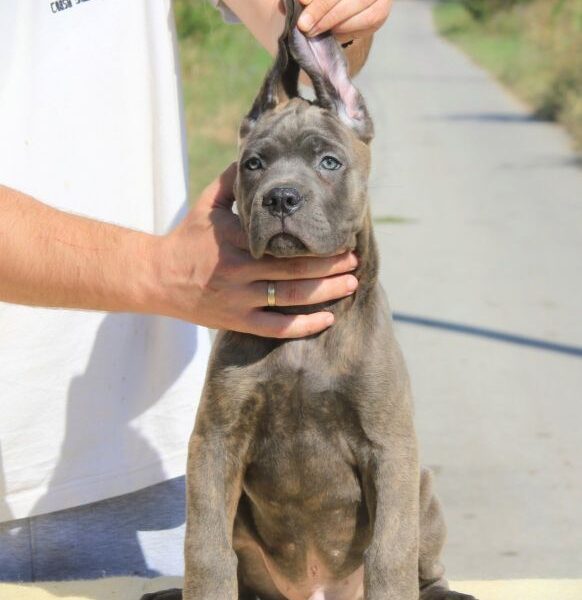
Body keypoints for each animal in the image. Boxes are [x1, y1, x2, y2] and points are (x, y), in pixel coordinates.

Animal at [143, 1, 480, 600]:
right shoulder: (215, 440)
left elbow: (390, 551)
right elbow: (205, 547)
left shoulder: (390, 447)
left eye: (328, 162)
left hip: (423, 487)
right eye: (253, 164)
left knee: (425, 562)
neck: (300, 316)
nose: (281, 198)